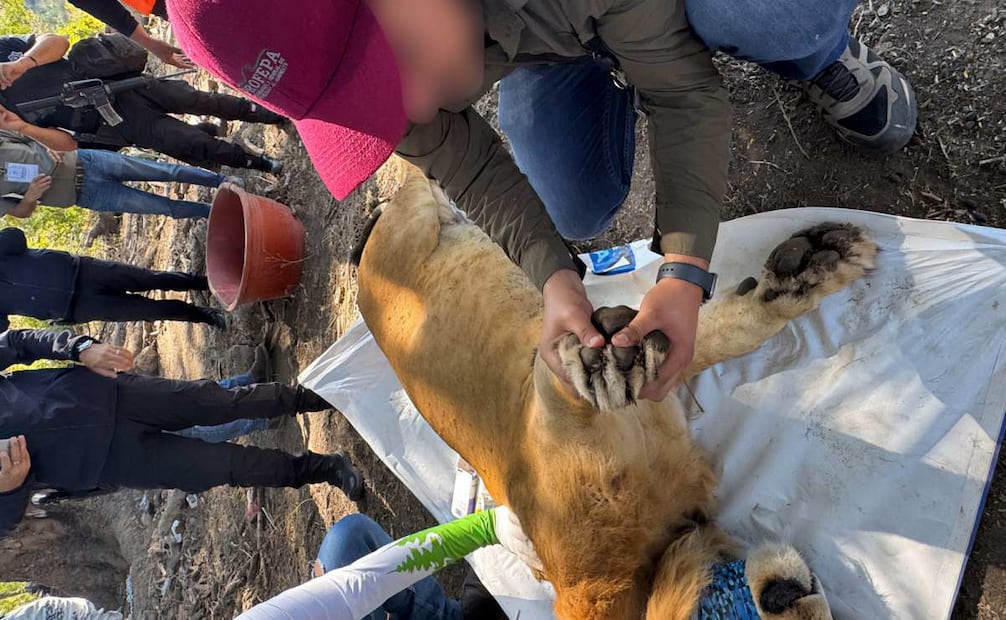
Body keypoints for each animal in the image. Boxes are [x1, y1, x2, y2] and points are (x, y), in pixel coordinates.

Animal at [354, 163, 876, 619]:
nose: (786, 594)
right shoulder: (548, 415)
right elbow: (566, 377)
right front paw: (598, 365)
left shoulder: (659, 376)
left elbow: (719, 329)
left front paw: (809, 268)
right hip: (409, 222)